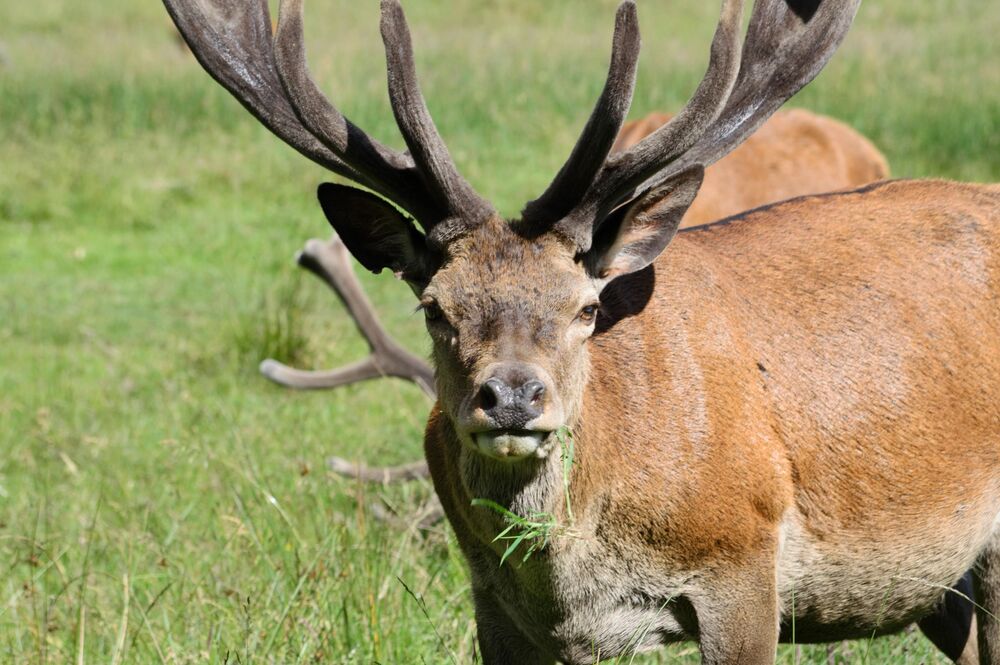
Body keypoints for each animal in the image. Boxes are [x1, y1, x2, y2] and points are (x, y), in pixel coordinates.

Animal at [164, 0, 1000, 662]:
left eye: (586, 307)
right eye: (433, 304)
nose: (511, 395)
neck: (573, 573)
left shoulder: (743, 557)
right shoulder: (502, 607)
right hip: (943, 589)